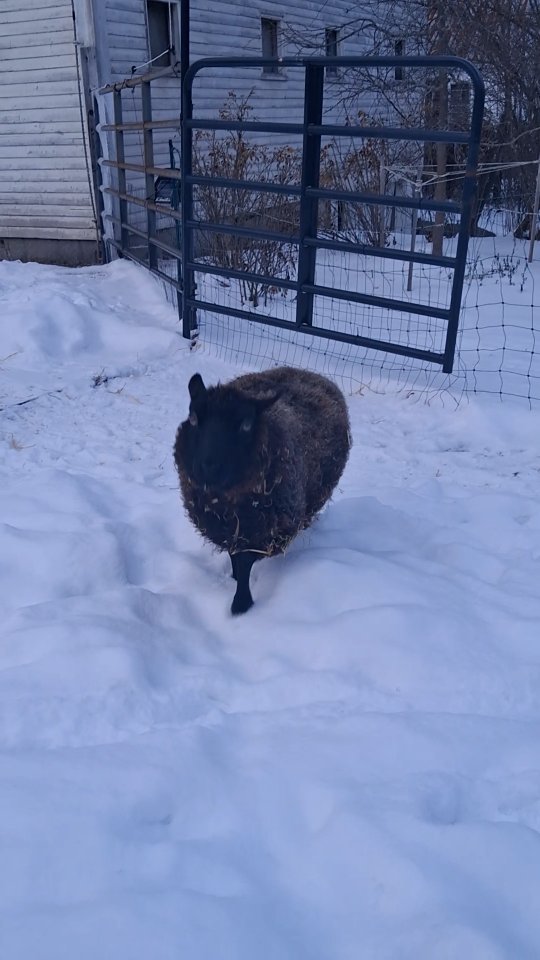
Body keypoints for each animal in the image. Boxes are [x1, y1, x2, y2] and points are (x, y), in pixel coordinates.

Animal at [174, 366, 351, 615]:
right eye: (193, 418)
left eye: (246, 424)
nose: (208, 467)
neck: (227, 502)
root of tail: (309, 372)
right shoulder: (229, 529)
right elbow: (234, 555)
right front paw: (234, 578)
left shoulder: (265, 531)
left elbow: (246, 561)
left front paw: (241, 603)